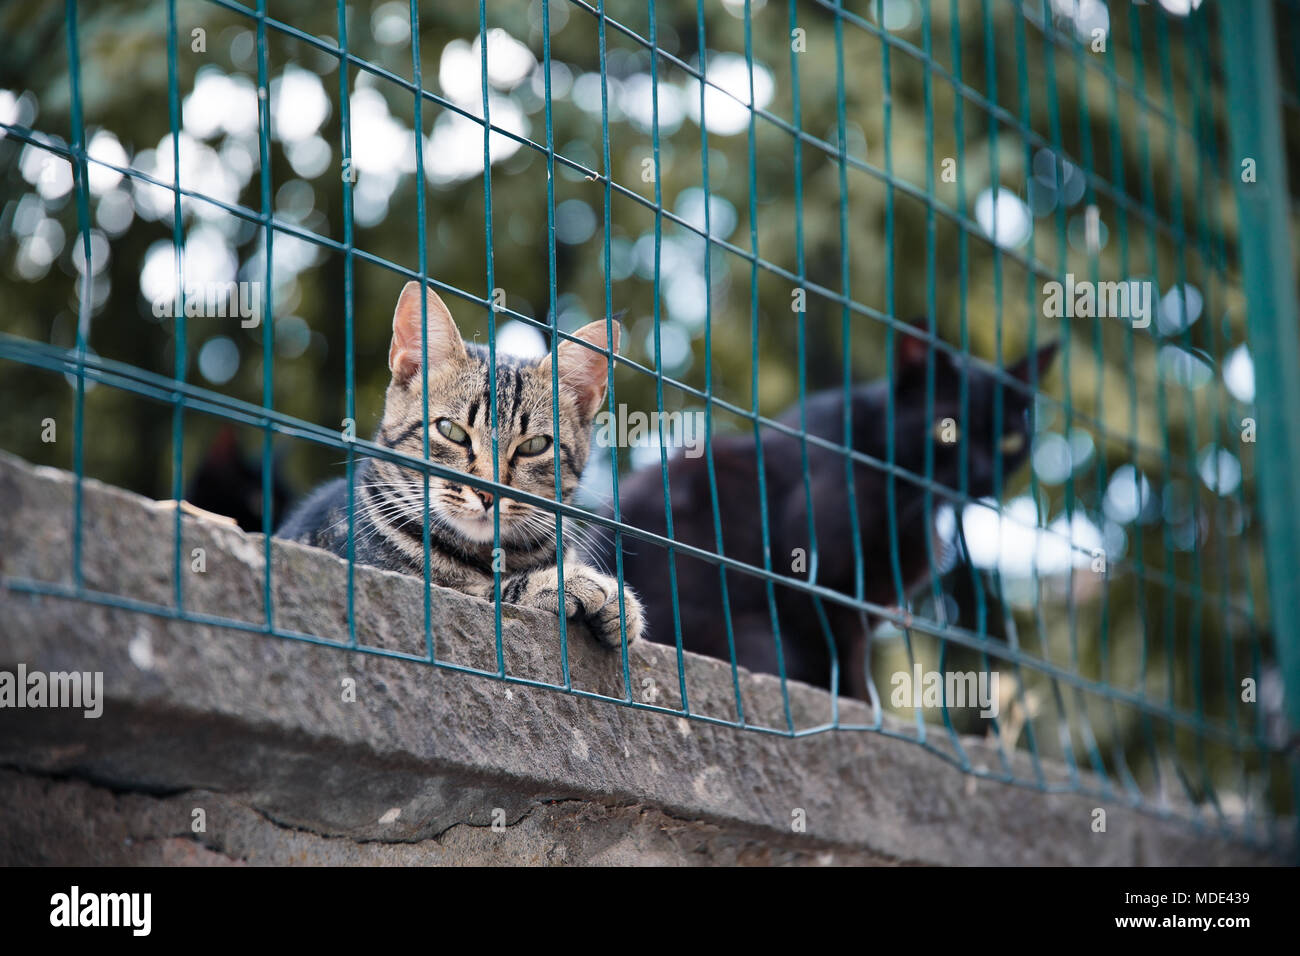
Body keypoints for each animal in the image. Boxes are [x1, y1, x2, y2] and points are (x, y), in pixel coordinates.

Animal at [279, 280, 639, 647]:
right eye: (451, 431)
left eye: (533, 446)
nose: (488, 493)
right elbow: (486, 594)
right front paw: (561, 583)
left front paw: (621, 607)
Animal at [595, 330, 1060, 702]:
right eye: (949, 429)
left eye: (1009, 440)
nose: (981, 473)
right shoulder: (820, 582)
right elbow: (847, 657)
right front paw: (861, 709)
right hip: (756, 634)